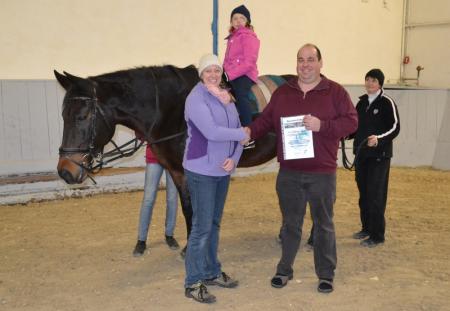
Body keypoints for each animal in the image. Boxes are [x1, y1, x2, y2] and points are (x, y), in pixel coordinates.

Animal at [54, 64, 292, 247]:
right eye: (63, 115)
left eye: (83, 116)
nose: (65, 171)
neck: (174, 112)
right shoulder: (178, 171)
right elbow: (188, 209)